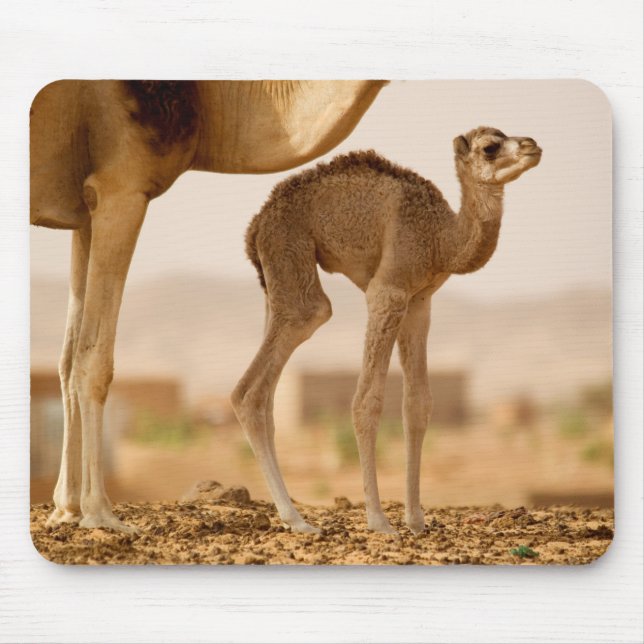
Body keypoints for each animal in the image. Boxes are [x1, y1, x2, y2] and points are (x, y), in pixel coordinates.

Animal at [31, 80, 388, 532]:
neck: (203, 98)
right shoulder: (121, 187)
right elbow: (94, 358)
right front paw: (100, 513)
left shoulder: (84, 211)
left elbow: (66, 357)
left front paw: (66, 508)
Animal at [232, 126, 542, 534]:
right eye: (490, 147)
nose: (532, 146)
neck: (441, 239)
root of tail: (255, 226)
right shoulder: (388, 291)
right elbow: (367, 401)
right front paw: (379, 520)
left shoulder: (420, 301)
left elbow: (417, 404)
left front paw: (416, 519)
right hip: (291, 257)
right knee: (262, 377)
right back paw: (298, 521)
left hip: (275, 282)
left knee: (264, 392)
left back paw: (293, 515)